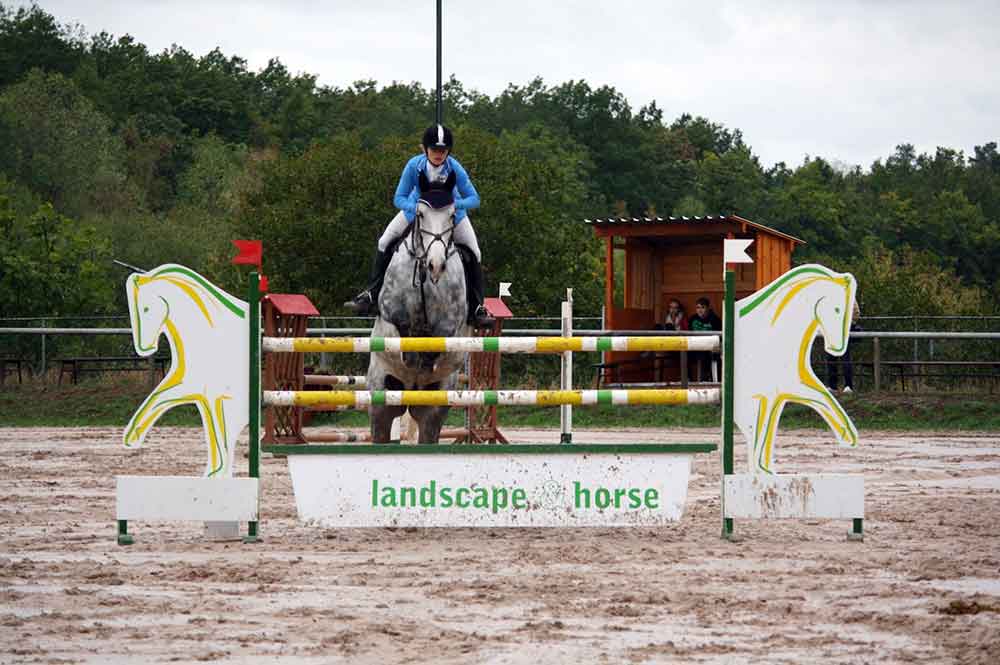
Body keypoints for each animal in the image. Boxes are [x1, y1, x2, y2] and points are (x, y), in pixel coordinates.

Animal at [368, 200, 472, 444]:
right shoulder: (390, 309)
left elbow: (438, 338)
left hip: (434, 405)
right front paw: (412, 354)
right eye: (420, 214)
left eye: (452, 215)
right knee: (381, 427)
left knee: (428, 430)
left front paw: (425, 358)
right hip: (381, 396)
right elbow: (404, 325)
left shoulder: (451, 322)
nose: (436, 265)